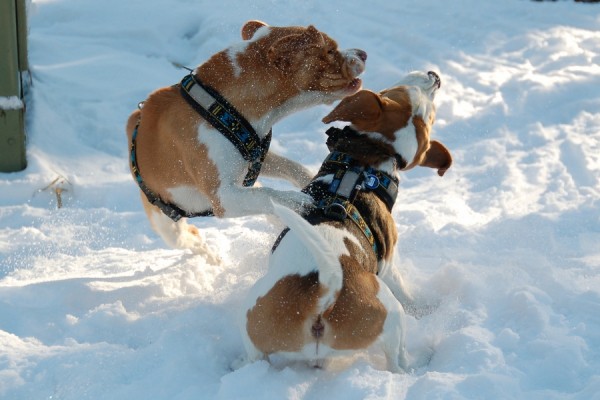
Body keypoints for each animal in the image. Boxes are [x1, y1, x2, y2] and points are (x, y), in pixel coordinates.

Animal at [125, 21, 366, 262]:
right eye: (330, 51)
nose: (362, 53)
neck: (223, 105)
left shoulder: (256, 158)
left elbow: (292, 168)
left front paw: (313, 180)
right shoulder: (223, 197)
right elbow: (268, 194)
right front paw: (297, 201)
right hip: (171, 228)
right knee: (194, 238)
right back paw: (213, 260)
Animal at [239, 71, 450, 372]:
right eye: (400, 92)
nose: (434, 75)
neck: (365, 161)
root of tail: (324, 294)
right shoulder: (389, 264)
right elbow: (405, 291)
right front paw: (424, 308)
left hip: (255, 320)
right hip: (392, 315)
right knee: (397, 362)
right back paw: (420, 362)